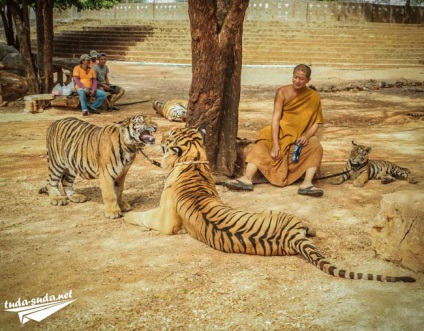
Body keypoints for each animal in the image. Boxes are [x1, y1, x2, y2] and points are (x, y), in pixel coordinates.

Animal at [124, 127, 416, 282]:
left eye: (171, 135)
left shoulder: (165, 221)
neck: (193, 159)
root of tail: (292, 236)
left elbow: (142, 216)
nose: (161, 138)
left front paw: (125, 216)